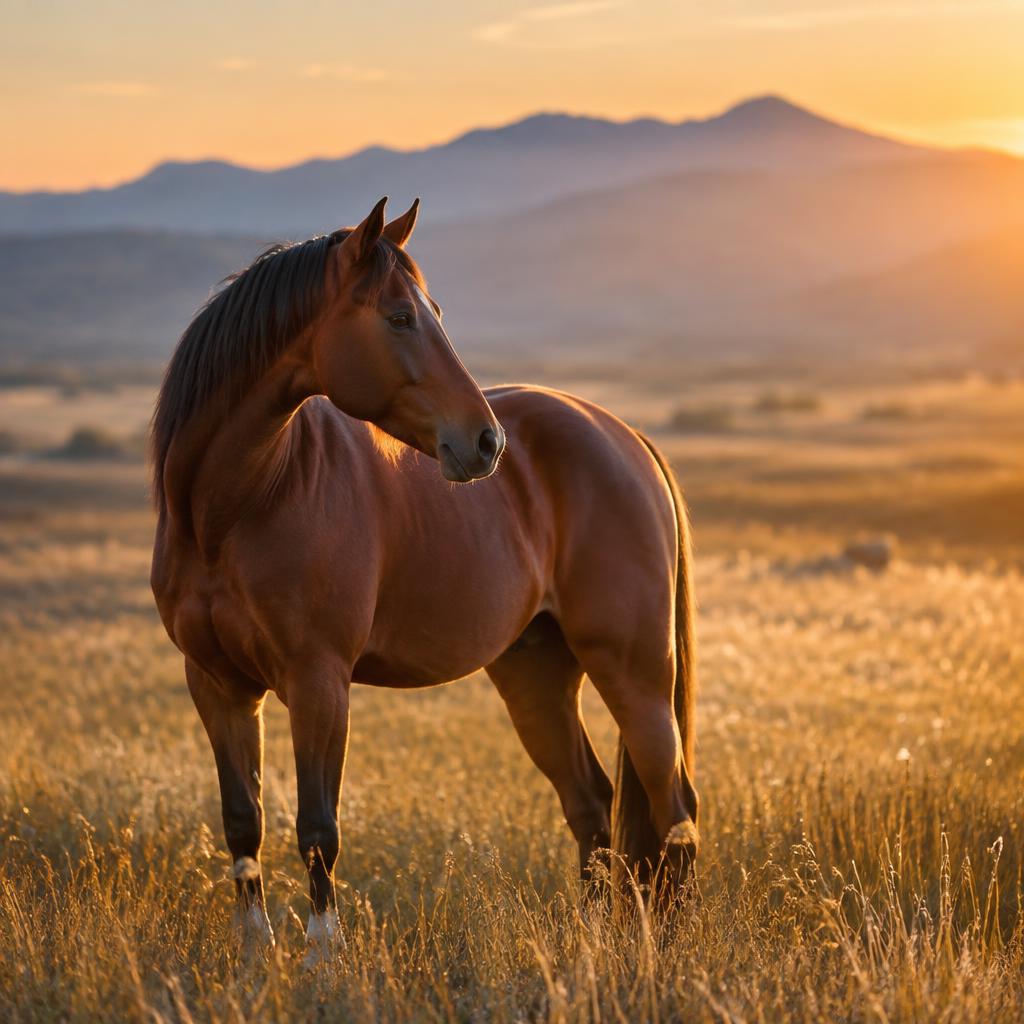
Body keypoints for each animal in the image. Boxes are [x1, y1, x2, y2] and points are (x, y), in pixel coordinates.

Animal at [150, 197, 699, 957]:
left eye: (428, 309)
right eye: (400, 317)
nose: (486, 442)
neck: (242, 504)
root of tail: (624, 436)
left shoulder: (319, 682)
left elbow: (318, 829)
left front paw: (323, 957)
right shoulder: (217, 685)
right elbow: (243, 821)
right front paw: (254, 955)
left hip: (635, 671)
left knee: (674, 808)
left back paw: (671, 948)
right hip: (535, 673)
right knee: (590, 802)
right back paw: (589, 944)